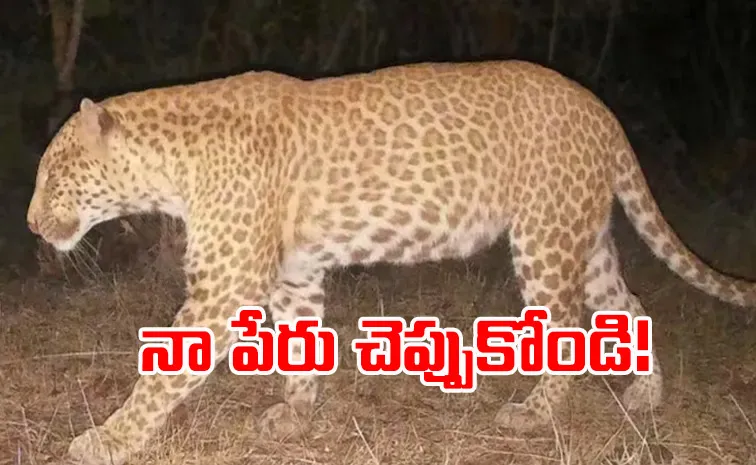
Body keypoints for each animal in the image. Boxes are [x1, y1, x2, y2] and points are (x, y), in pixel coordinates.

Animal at [26, 60, 755, 465]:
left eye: (55, 175)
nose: (30, 223)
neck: (168, 166)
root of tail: (601, 109)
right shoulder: (294, 271)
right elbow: (300, 343)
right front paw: (295, 415)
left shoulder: (225, 283)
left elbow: (162, 373)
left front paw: (106, 441)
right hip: (585, 235)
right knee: (630, 305)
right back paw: (646, 394)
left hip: (545, 238)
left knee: (569, 324)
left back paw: (534, 414)